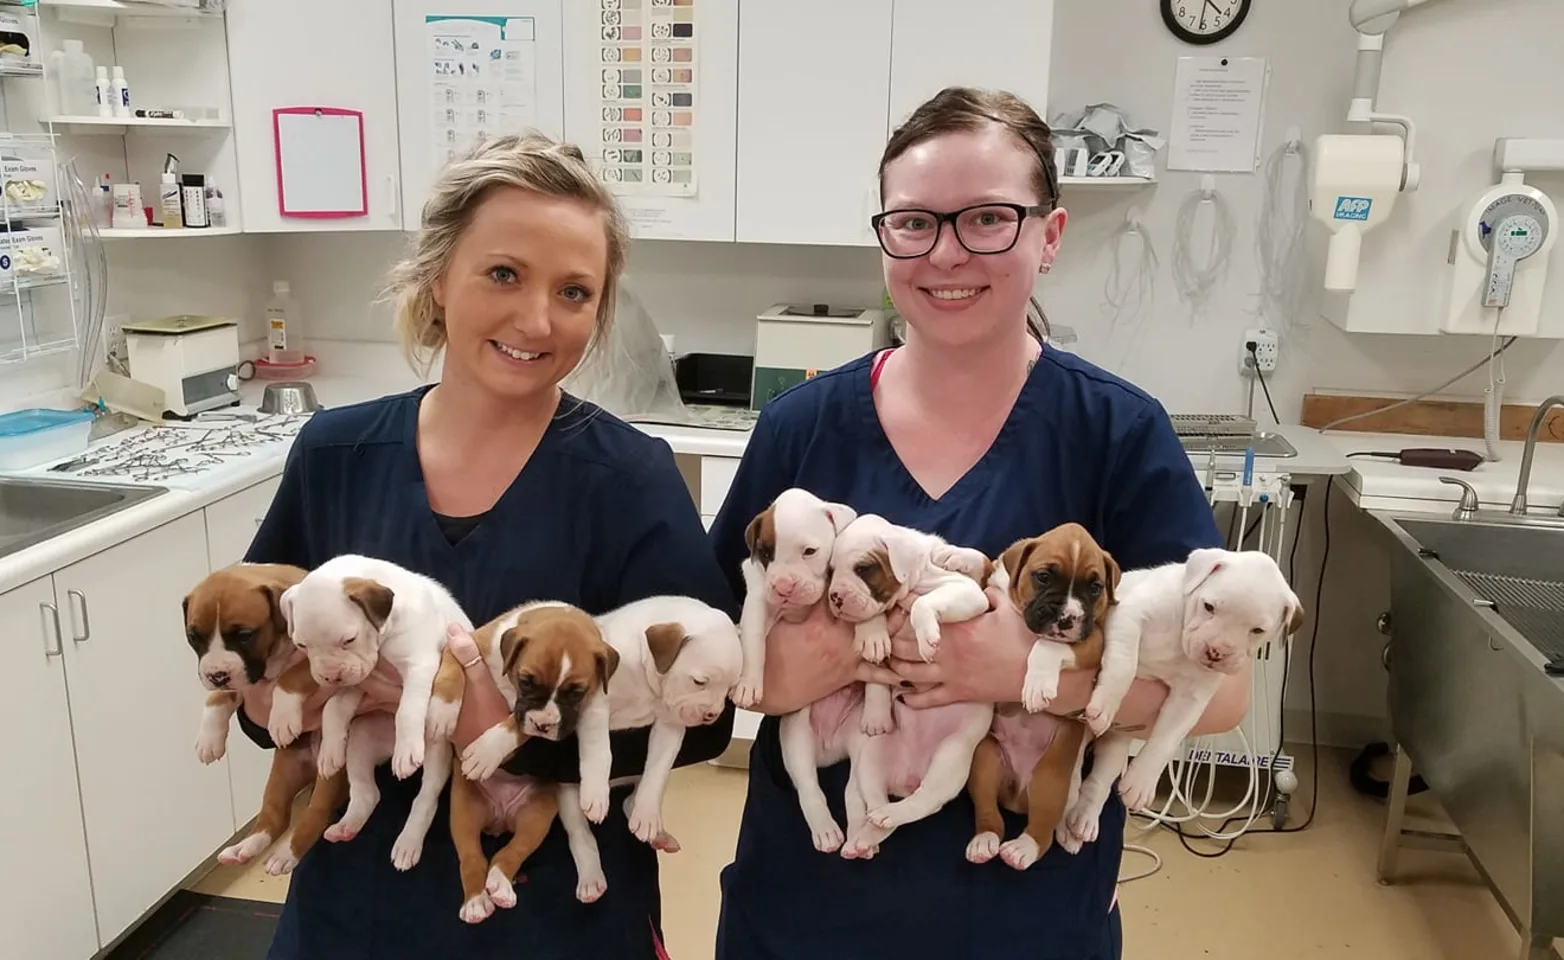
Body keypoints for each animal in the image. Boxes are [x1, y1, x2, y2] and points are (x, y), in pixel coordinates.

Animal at [182, 562, 348, 881]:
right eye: (194, 636)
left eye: (245, 634)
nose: (216, 675)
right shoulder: (239, 679)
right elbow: (218, 697)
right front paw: (209, 738)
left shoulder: (320, 662)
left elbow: (291, 676)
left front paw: (282, 718)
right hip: (283, 772)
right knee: (274, 815)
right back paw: (244, 848)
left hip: (331, 773)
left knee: (315, 814)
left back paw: (285, 855)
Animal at [731, 487, 857, 706]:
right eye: (765, 554)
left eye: (809, 551)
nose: (783, 587)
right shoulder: (758, 599)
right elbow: (753, 640)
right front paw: (748, 683)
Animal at [1063, 550, 1307, 844]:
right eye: (1209, 607)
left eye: (1257, 630)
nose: (1215, 652)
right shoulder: (1129, 615)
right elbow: (1124, 666)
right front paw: (1104, 705)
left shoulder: (1191, 700)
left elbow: (1166, 740)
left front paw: (1141, 783)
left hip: (1116, 744)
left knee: (1098, 780)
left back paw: (1082, 820)